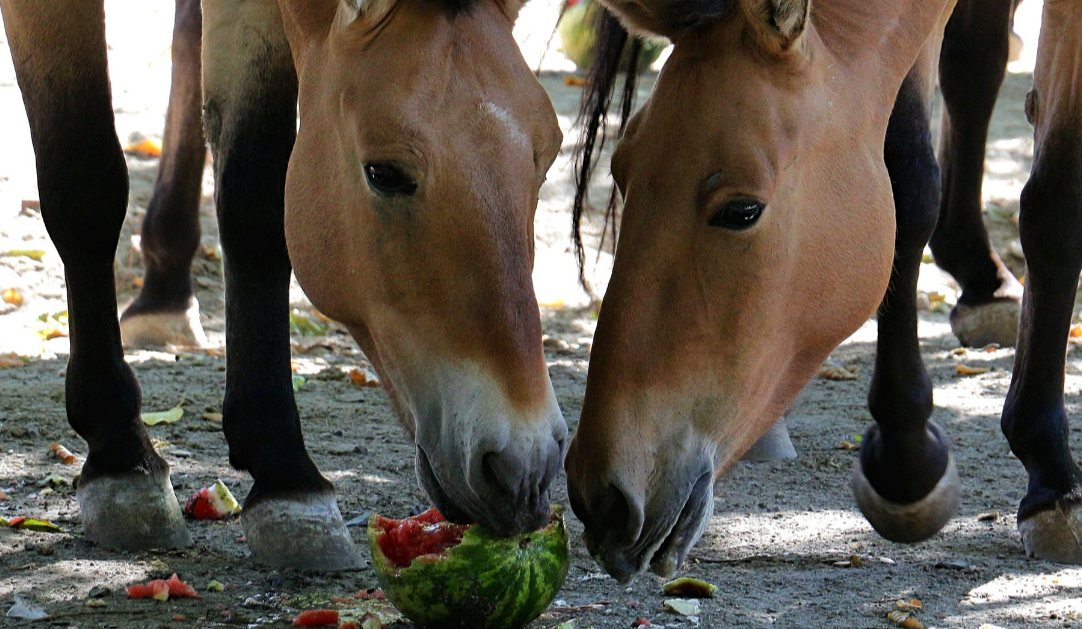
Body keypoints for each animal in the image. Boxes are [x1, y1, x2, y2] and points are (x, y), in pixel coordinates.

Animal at [2, 0, 566, 567]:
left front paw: (284, 474)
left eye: (548, 157)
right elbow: (85, 181)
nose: (524, 468)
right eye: (383, 173)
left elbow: (254, 195)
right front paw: (119, 454)